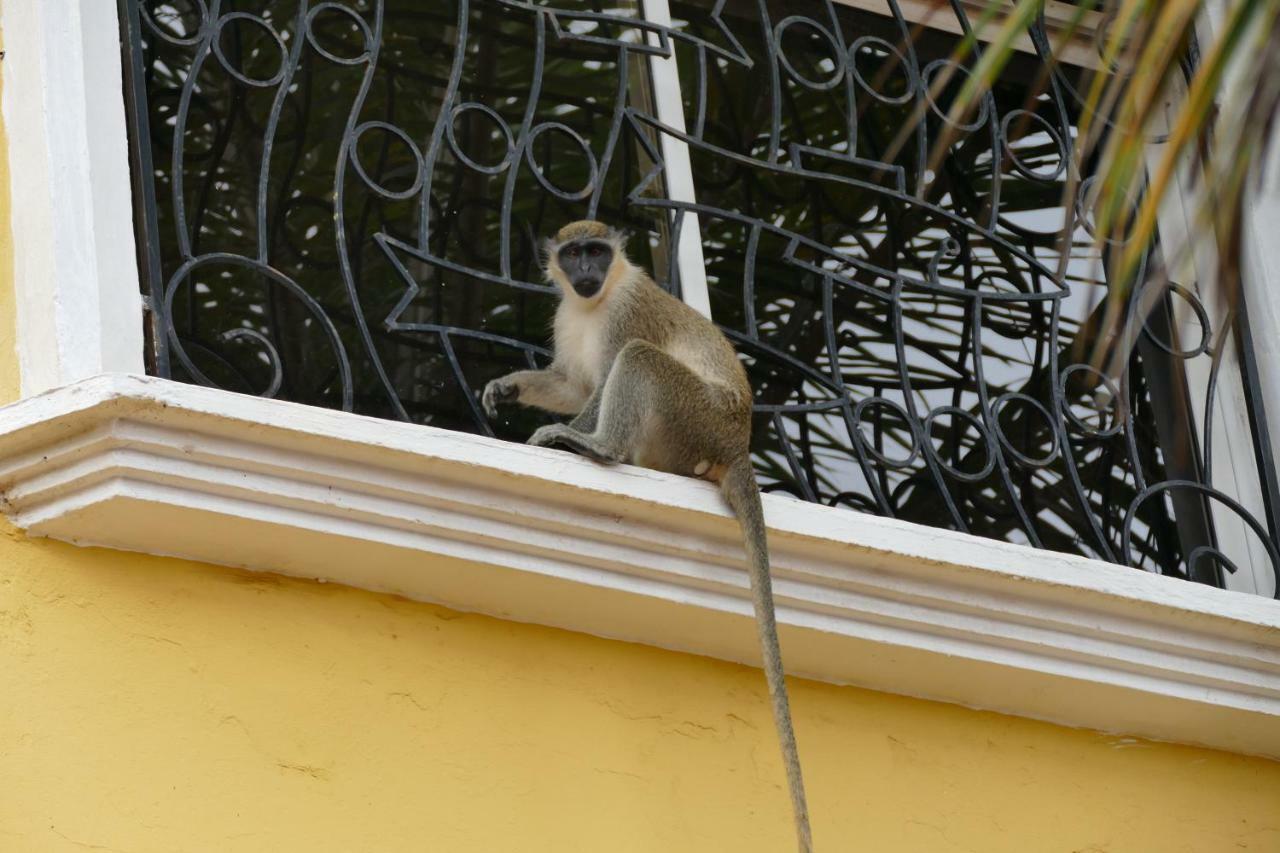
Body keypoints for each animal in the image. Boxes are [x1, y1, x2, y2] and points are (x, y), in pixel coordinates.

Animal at [483, 220, 814, 850]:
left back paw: (599, 447)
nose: (586, 271)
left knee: (638, 362)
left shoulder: (628, 313)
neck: (596, 301)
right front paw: (508, 387)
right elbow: (571, 383)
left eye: (597, 251)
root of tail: (736, 445)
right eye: (573, 254)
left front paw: (558, 434)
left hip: (694, 418)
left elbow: (602, 381)